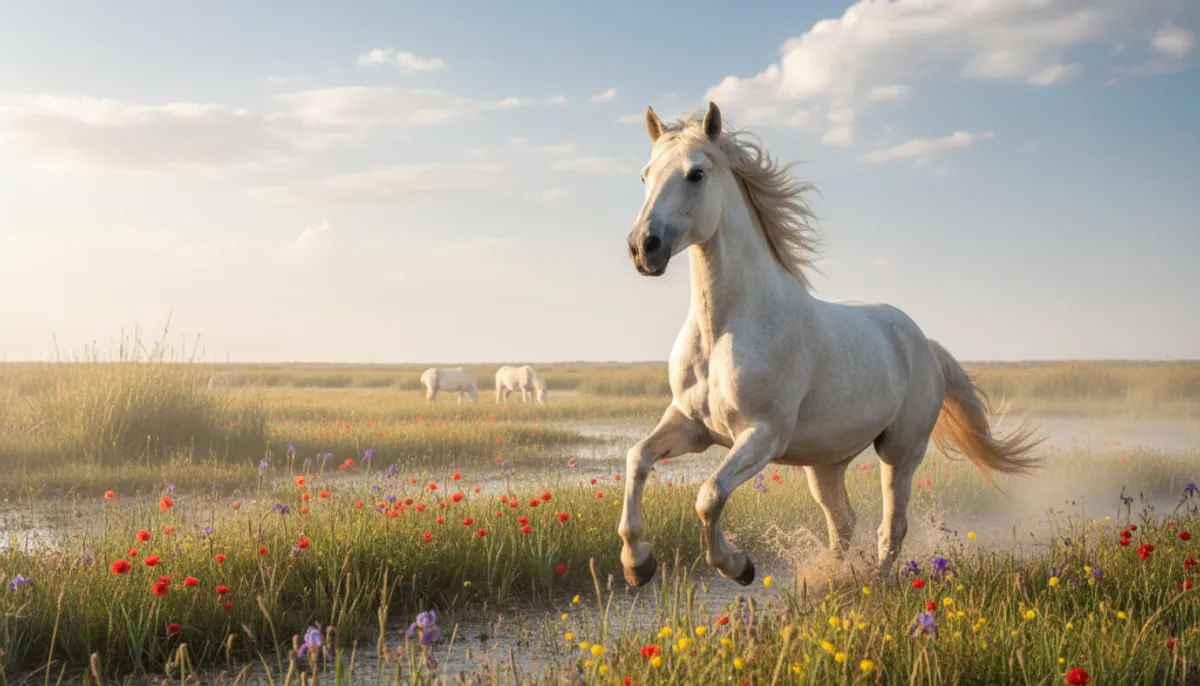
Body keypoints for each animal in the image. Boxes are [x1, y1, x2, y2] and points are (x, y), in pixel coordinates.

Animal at [617, 102, 1040, 588]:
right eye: (645, 176)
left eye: (696, 174)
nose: (643, 248)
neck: (723, 330)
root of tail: (924, 343)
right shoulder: (691, 425)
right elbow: (637, 458)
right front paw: (637, 563)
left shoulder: (762, 435)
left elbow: (710, 495)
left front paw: (738, 566)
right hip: (824, 463)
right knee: (843, 522)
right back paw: (832, 580)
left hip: (900, 451)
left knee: (891, 526)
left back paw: (875, 585)